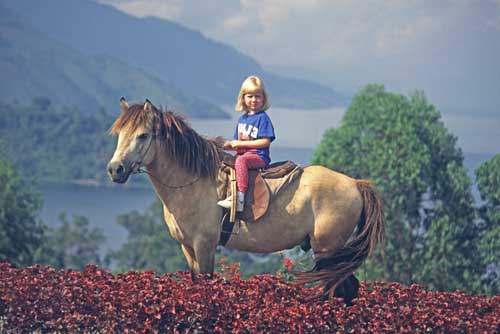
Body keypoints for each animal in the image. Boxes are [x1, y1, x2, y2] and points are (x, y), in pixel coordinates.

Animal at [107, 98, 384, 302]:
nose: (115, 169)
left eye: (143, 135)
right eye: (120, 133)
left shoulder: (205, 245)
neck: (194, 181)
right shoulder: (188, 248)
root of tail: (355, 184)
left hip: (328, 249)